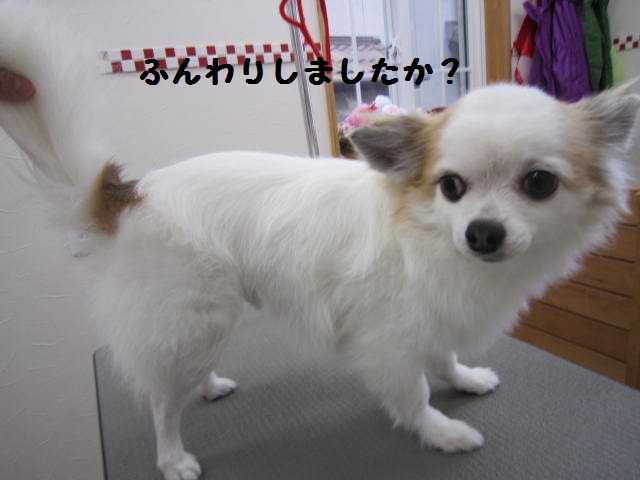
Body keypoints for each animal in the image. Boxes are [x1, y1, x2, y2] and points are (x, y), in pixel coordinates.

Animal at [2, 16, 640, 480]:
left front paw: (463, 379)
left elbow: (443, 356)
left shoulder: (431, 316)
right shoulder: (389, 341)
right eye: (451, 187)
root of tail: (130, 194)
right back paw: (172, 457)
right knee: (162, 403)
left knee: (179, 377)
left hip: (199, 325)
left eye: (540, 183)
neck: (429, 234)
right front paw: (440, 432)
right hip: (195, 315)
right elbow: (413, 393)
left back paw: (207, 385)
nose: (482, 232)